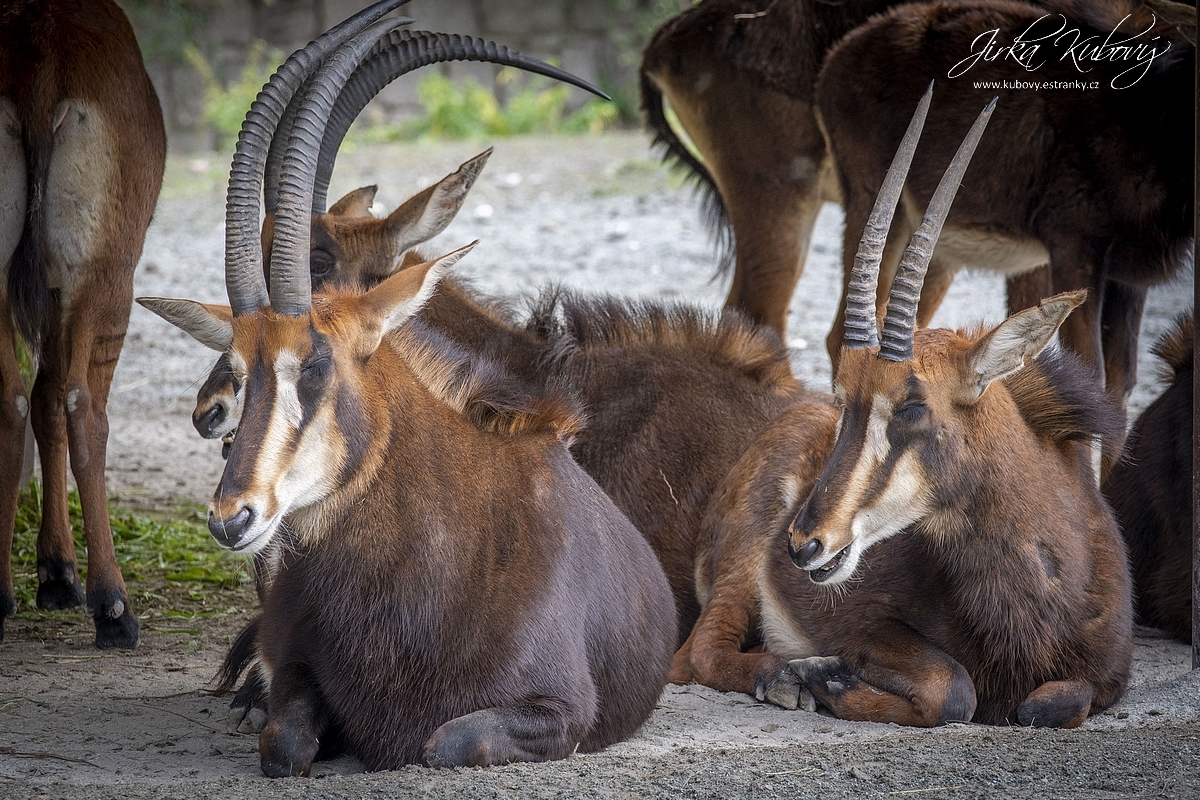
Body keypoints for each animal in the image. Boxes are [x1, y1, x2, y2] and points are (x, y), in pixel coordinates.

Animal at [0, 0, 166, 647]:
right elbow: (60, 400)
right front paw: (65, 576)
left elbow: (41, 400)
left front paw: (53, 571)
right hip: (104, 279)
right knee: (81, 406)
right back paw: (113, 605)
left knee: (16, 398)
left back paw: (0, 594)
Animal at [138, 1, 676, 777]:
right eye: (241, 367)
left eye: (316, 363)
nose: (232, 517)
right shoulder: (293, 672)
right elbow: (285, 741)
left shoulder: (562, 710)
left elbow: (442, 739)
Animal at [676, 86, 1132, 724]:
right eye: (842, 399)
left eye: (912, 407)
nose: (804, 543)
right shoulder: (864, 626)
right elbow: (956, 690)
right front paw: (825, 676)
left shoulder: (1112, 676)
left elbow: (1052, 703)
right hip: (741, 569)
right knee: (696, 656)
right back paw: (784, 677)